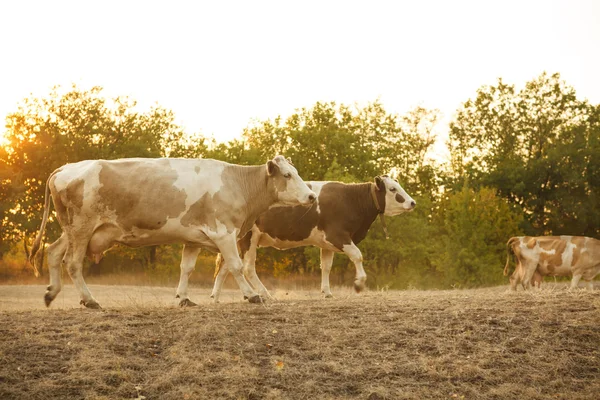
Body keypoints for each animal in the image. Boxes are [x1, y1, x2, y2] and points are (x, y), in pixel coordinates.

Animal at [29, 155, 316, 308]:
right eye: (288, 175)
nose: (312, 196)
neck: (237, 184)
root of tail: (65, 168)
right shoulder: (224, 233)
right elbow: (235, 266)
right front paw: (252, 295)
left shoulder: (195, 238)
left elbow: (186, 268)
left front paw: (184, 298)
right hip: (82, 227)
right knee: (72, 262)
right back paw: (89, 300)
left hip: (71, 230)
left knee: (53, 253)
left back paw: (51, 292)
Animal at [212, 177, 418, 302]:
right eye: (393, 189)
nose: (412, 202)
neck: (350, 200)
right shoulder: (338, 235)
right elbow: (357, 255)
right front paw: (359, 283)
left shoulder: (326, 243)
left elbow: (326, 266)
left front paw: (327, 292)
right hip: (249, 238)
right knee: (247, 267)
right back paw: (264, 294)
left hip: (236, 239)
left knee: (226, 267)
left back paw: (218, 296)